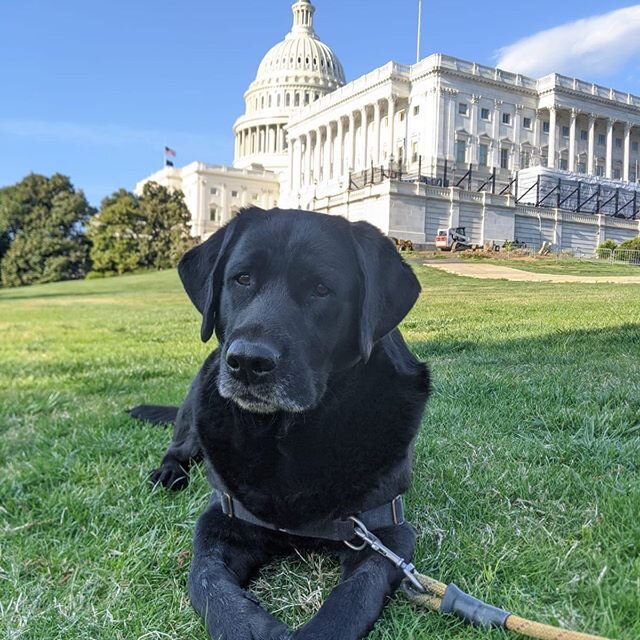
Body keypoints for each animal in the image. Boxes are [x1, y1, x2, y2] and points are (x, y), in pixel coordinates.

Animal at [130, 208, 430, 636]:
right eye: (242, 279)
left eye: (321, 289)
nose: (247, 362)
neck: (287, 435)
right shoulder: (220, 519)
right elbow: (207, 582)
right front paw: (250, 627)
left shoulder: (386, 533)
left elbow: (355, 596)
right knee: (179, 447)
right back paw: (168, 473)